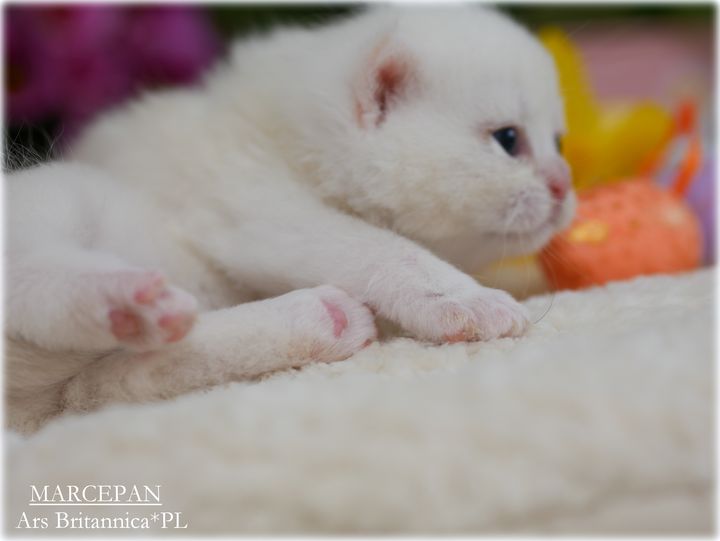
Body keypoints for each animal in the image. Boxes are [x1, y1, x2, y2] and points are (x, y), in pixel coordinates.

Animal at [5, 5, 575, 433]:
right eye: (508, 139)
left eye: (559, 142)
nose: (564, 186)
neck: (285, 136)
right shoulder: (248, 204)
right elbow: (375, 247)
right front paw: (463, 298)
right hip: (62, 197)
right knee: (31, 279)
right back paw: (120, 299)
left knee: (103, 386)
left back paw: (319, 320)